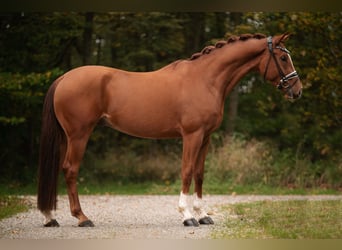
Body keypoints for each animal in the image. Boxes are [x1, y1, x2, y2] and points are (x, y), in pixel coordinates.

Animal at [38, 32, 302, 227]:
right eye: (283, 57)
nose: (297, 90)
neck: (205, 79)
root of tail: (63, 79)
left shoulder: (206, 137)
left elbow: (199, 174)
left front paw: (202, 215)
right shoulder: (192, 135)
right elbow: (186, 171)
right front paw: (187, 216)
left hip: (66, 137)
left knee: (58, 169)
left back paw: (51, 217)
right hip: (79, 135)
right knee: (70, 169)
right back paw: (82, 218)